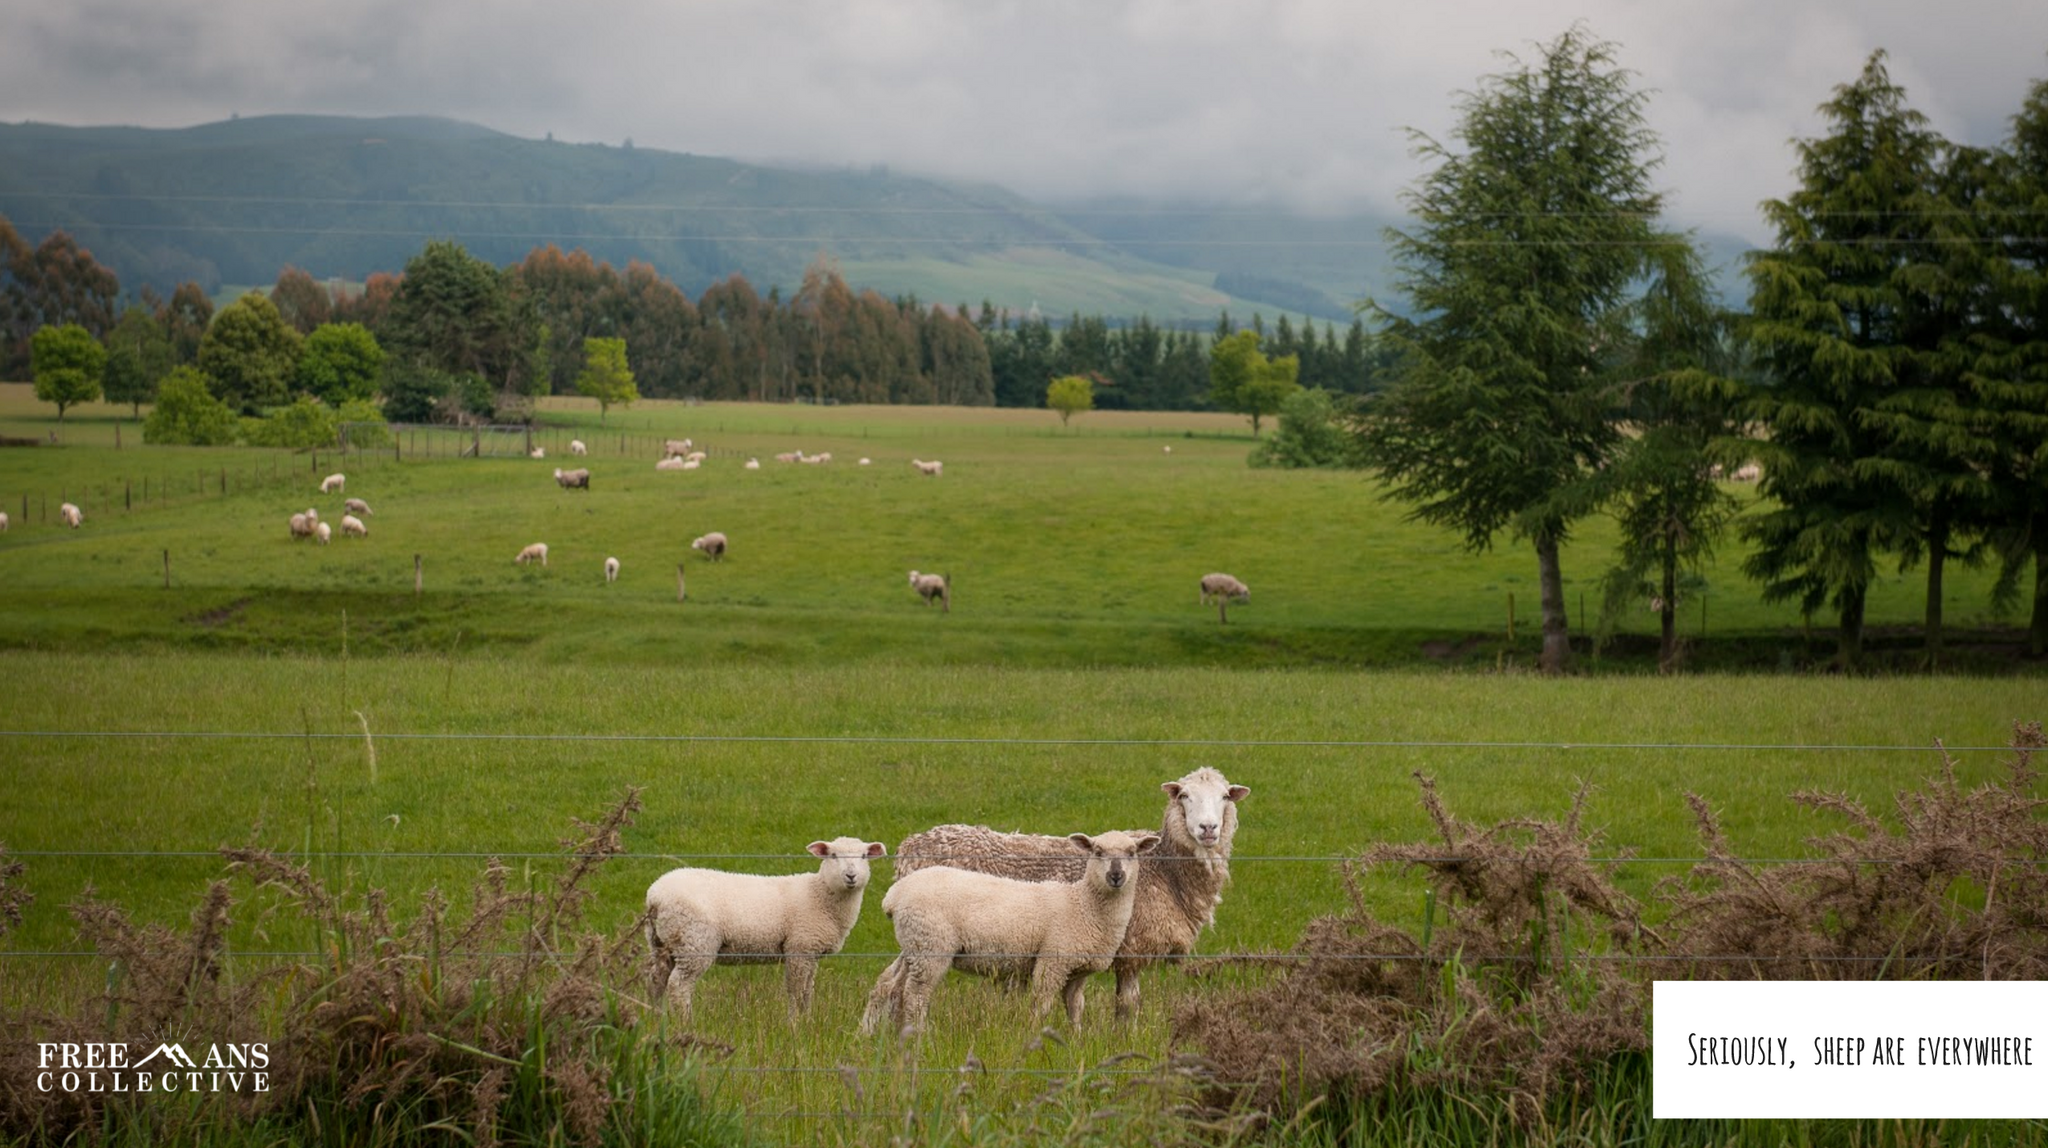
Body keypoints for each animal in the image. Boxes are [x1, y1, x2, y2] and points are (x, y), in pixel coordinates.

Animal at [647, 830, 888, 1019]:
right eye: (833, 855)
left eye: (864, 856)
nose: (851, 875)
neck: (820, 894)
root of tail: (656, 896)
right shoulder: (799, 948)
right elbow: (796, 990)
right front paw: (794, 1024)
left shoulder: (812, 952)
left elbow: (807, 991)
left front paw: (808, 1020)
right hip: (695, 943)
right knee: (679, 985)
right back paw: (685, 1022)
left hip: (662, 943)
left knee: (656, 980)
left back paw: (654, 1016)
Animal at [856, 826, 1163, 1035]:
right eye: (1097, 852)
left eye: (1132, 853)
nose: (1116, 876)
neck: (1083, 904)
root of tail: (895, 895)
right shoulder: (1052, 962)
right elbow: (1042, 1004)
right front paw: (1034, 1036)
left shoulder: (1077, 971)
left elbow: (1076, 1008)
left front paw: (1077, 1040)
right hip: (931, 946)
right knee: (916, 995)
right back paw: (920, 1035)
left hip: (914, 943)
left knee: (890, 986)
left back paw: (874, 1033)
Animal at [897, 765, 1245, 1014]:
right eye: (1184, 796)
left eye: (1225, 797)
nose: (1208, 829)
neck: (1164, 870)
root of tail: (910, 845)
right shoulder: (1130, 950)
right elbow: (1127, 1004)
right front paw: (1124, 1041)